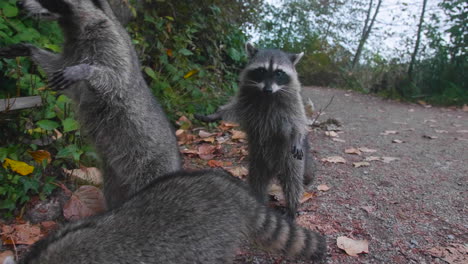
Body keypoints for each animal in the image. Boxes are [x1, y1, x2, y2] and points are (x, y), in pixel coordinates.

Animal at [0, 0, 182, 208]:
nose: (19, 3)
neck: (74, 25)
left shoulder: (110, 41)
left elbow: (116, 80)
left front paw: (86, 70)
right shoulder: (73, 50)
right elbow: (58, 70)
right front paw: (31, 50)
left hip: (150, 166)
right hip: (114, 176)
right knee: (113, 193)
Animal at [196, 43, 312, 221]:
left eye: (279, 73)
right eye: (262, 70)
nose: (268, 89)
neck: (267, 96)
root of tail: (274, 168)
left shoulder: (292, 102)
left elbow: (297, 122)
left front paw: (298, 137)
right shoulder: (245, 98)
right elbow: (231, 108)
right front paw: (214, 114)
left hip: (289, 159)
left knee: (292, 181)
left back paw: (292, 207)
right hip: (258, 160)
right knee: (257, 180)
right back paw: (258, 200)